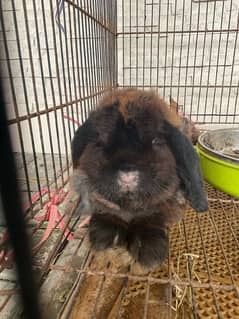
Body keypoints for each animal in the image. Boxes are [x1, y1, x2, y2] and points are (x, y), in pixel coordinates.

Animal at [71, 89, 207, 268]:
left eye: (156, 141)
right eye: (99, 142)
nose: (127, 174)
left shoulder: (163, 205)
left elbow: (150, 217)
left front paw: (148, 250)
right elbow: (109, 212)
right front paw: (105, 237)